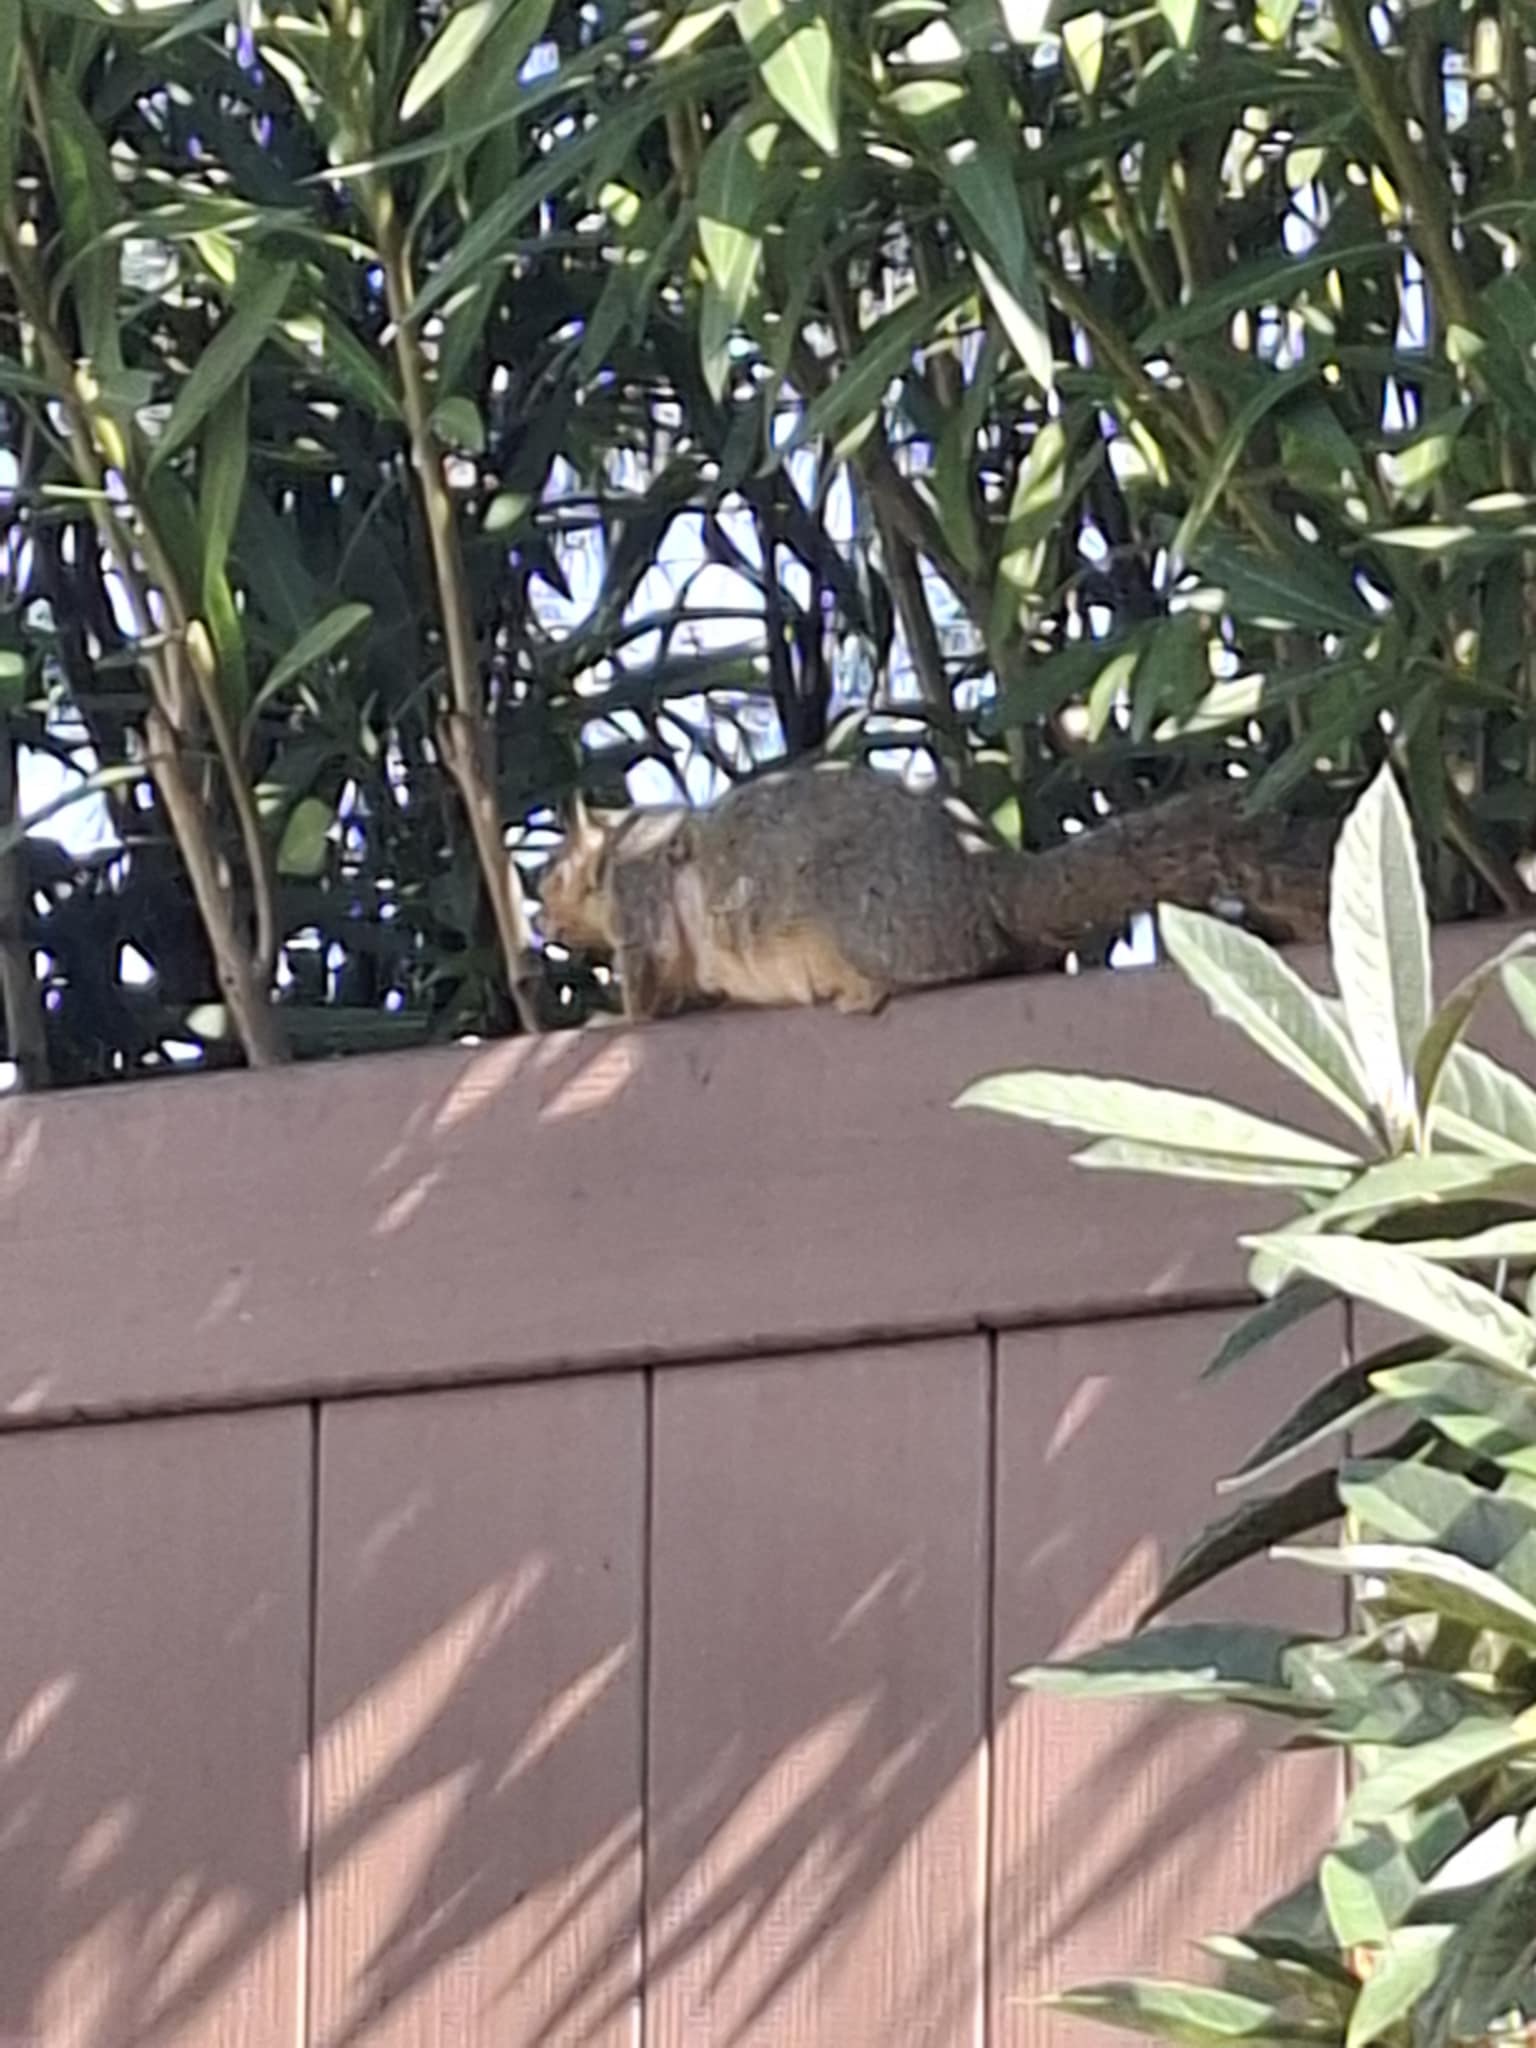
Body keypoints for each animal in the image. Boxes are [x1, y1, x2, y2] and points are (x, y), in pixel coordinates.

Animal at [539, 759, 1335, 1022]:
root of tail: (977, 875)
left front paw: (606, 1019)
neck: (629, 839)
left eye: (549, 876)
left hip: (855, 913)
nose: (541, 925)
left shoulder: (639, 900)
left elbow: (645, 992)